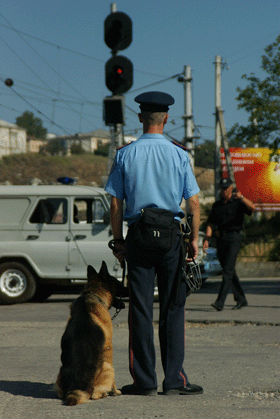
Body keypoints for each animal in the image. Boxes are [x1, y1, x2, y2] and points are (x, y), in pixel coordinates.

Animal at [55, 262, 122, 406]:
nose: (127, 288)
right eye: (117, 283)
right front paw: (115, 391)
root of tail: (76, 387)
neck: (92, 293)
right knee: (95, 394)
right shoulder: (108, 349)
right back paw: (104, 393)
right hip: (108, 368)